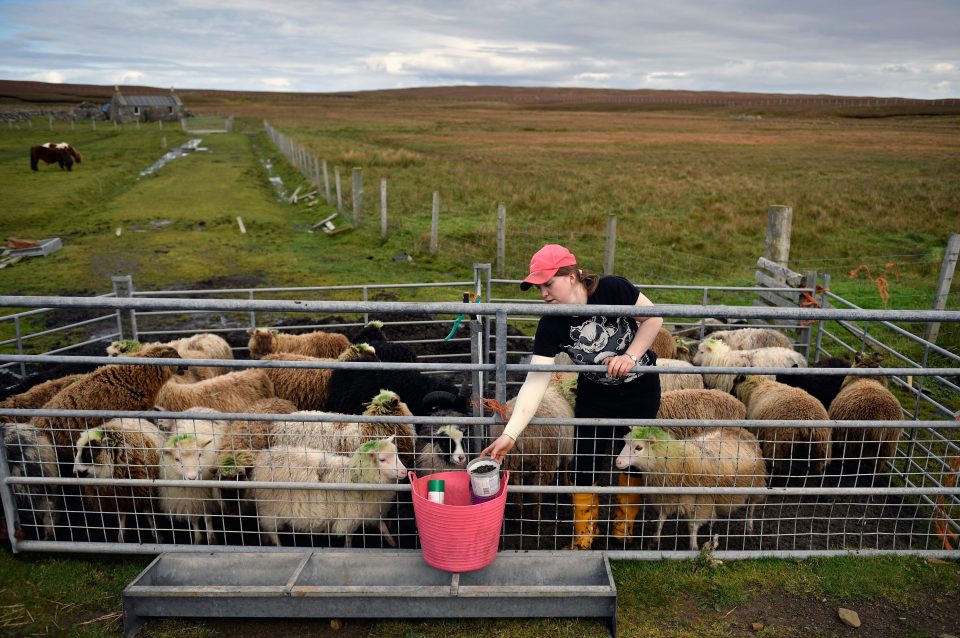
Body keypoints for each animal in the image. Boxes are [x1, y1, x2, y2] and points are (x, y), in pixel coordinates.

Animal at [248, 440, 404, 552]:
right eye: (382, 460)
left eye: (397, 455)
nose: (404, 471)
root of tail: (263, 456)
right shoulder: (349, 516)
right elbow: (349, 537)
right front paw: (348, 548)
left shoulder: (373, 511)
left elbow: (383, 527)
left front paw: (393, 543)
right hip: (269, 508)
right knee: (271, 530)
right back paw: (278, 546)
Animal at [620, 424, 768, 552]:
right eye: (626, 443)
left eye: (638, 447)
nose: (618, 462)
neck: (678, 461)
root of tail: (741, 429)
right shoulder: (666, 497)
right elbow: (660, 520)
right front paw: (655, 539)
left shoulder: (701, 501)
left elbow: (692, 526)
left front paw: (693, 546)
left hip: (756, 482)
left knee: (752, 506)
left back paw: (749, 528)